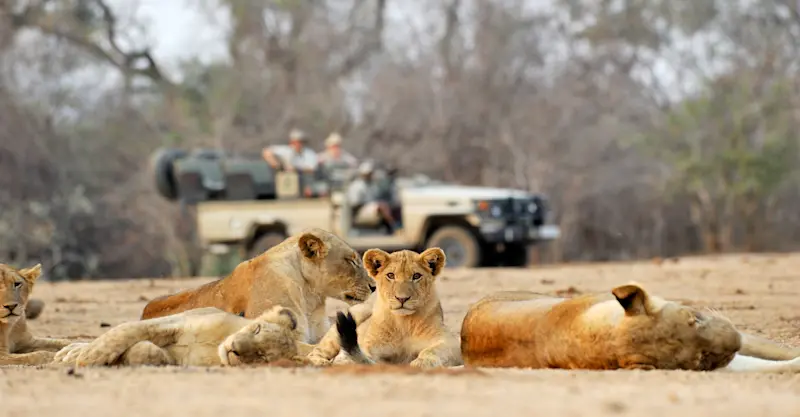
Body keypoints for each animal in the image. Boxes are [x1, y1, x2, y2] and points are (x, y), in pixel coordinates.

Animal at [307, 247, 462, 368]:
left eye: (416, 276)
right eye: (391, 275)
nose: (402, 298)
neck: (404, 323)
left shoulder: (451, 342)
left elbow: (431, 351)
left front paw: (421, 362)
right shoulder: (370, 345)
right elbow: (363, 355)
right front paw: (344, 360)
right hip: (356, 313)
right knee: (315, 352)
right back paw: (321, 362)